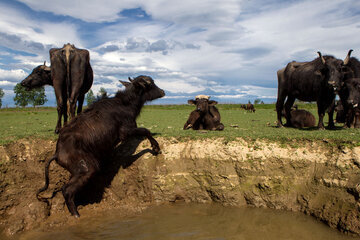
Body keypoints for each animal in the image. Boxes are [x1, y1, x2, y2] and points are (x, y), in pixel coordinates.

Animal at [36, 75, 166, 218]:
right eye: (150, 84)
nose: (163, 91)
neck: (125, 104)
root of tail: (57, 152)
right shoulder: (126, 132)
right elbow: (145, 130)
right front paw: (155, 147)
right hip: (86, 169)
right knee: (66, 190)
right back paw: (76, 214)